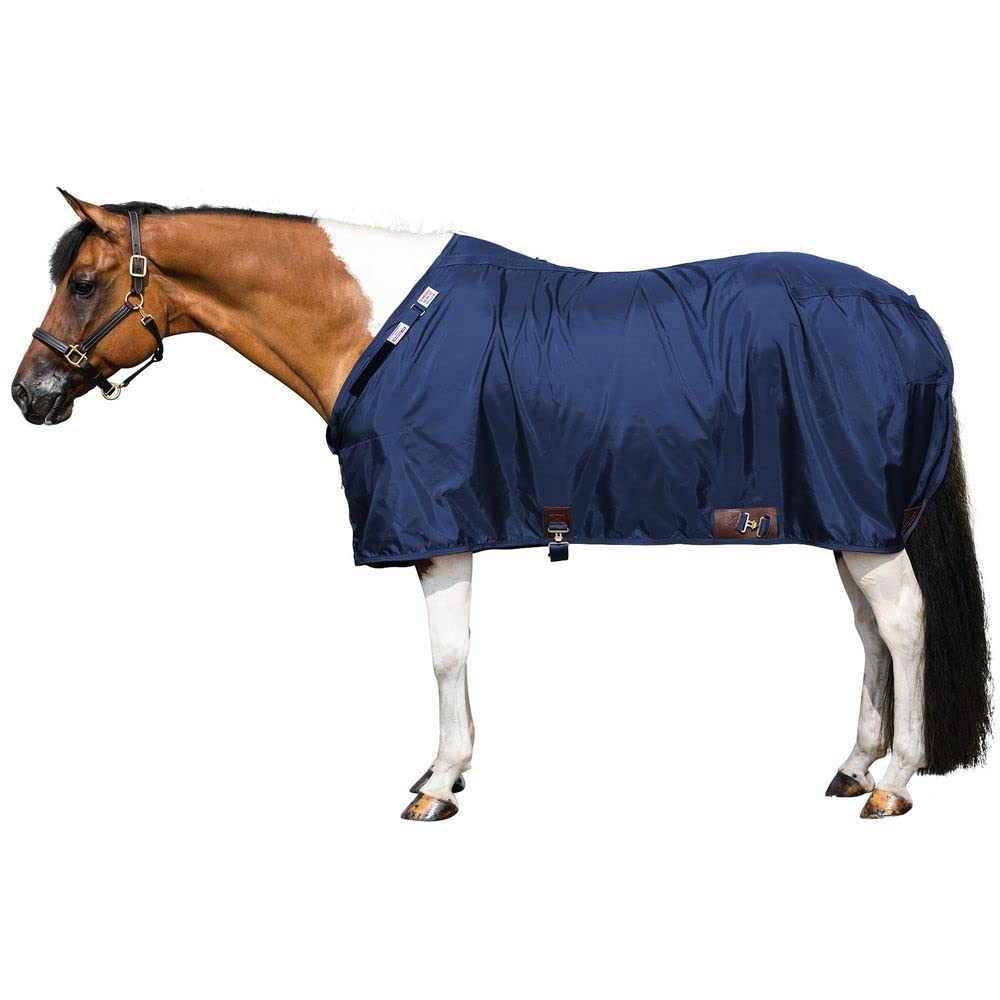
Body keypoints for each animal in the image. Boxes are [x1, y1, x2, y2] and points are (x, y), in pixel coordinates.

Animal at [12, 190, 991, 821]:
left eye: (86, 282)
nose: (29, 393)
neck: (380, 326)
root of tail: (911, 314)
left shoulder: (439, 528)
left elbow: (445, 655)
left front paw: (437, 784)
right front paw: (451, 768)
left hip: (864, 524)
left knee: (903, 624)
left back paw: (895, 781)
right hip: (847, 520)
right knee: (869, 631)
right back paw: (854, 765)